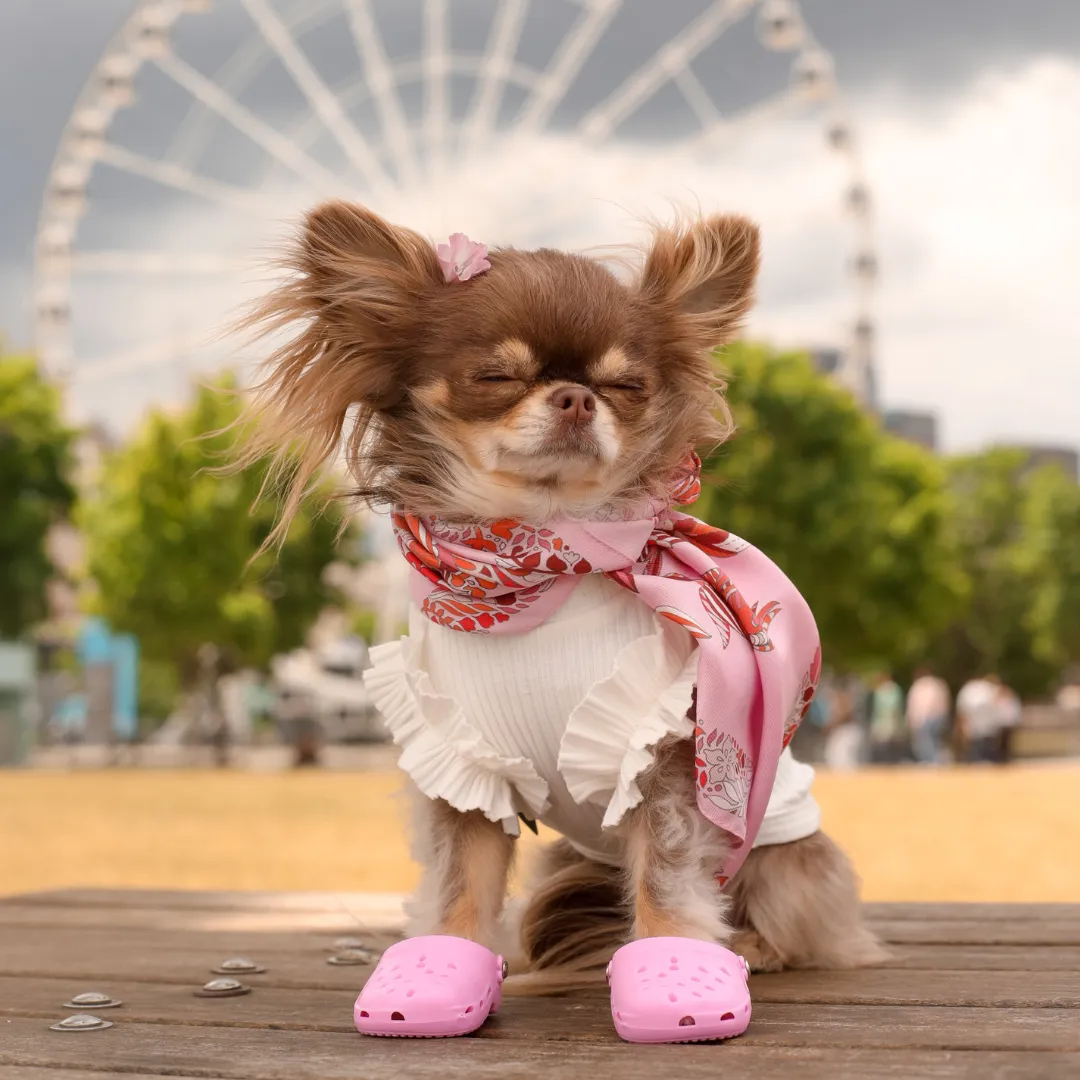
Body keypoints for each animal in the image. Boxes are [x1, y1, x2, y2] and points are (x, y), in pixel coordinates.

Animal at [238, 200, 885, 1019]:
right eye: (496, 376)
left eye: (626, 385)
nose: (577, 396)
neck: (540, 558)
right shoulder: (463, 765)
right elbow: (462, 881)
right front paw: (442, 968)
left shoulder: (661, 761)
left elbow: (666, 879)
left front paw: (675, 968)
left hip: (789, 857)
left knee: (806, 925)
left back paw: (757, 947)